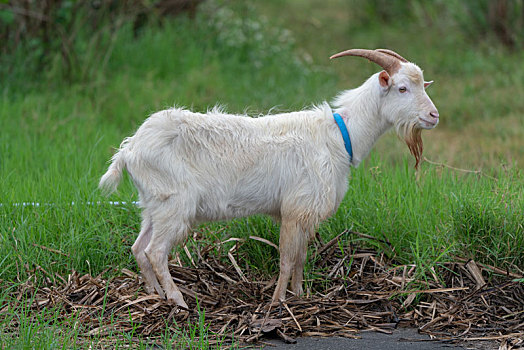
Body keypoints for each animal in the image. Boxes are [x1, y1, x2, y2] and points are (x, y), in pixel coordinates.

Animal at [98, 47, 438, 308]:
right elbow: (286, 259)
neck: (340, 136)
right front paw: (277, 302)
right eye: (402, 88)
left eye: (423, 86)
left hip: (153, 204)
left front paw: (299, 295)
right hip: (174, 205)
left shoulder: (304, 213)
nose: (434, 116)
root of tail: (130, 149)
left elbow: (300, 258)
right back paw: (178, 301)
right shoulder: (295, 209)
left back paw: (154, 295)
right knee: (155, 252)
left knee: (139, 248)